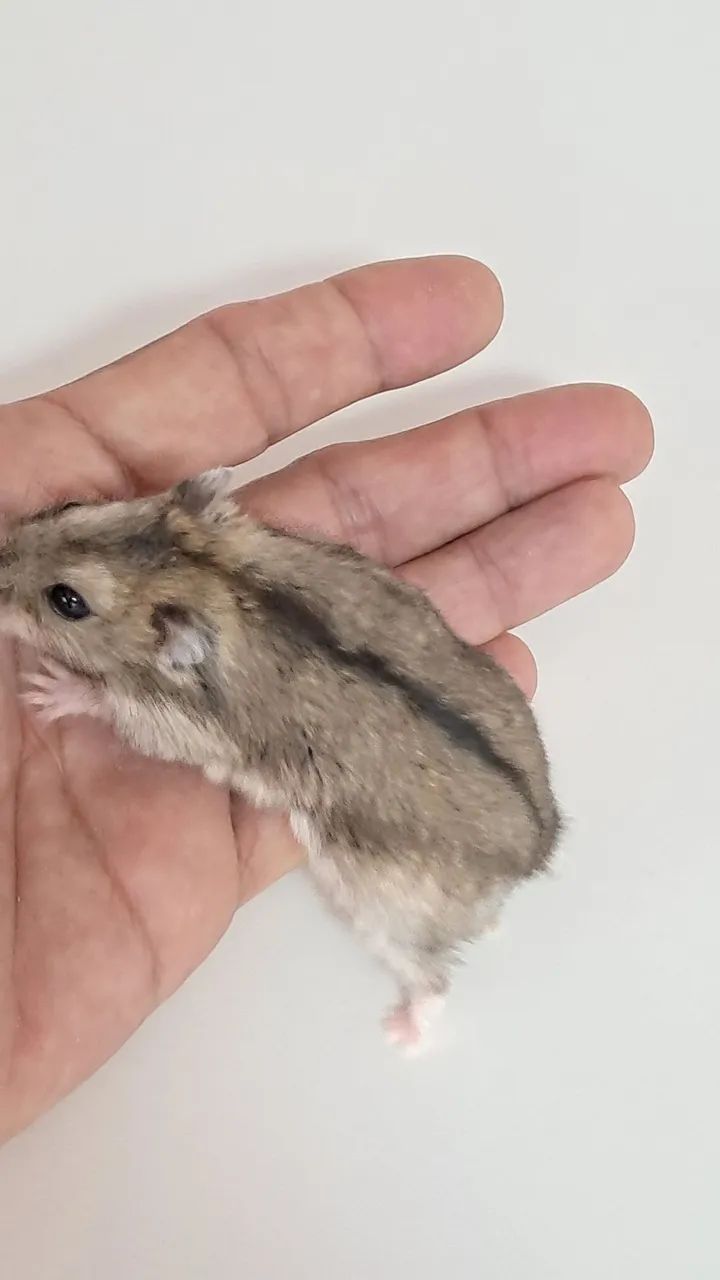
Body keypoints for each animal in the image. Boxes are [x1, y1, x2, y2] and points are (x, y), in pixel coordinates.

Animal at [0, 468, 561, 1050]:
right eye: (70, 505)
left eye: (67, 601)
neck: (206, 577)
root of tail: (535, 857)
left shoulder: (172, 724)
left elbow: (105, 700)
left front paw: (47, 689)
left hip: (385, 912)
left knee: (434, 979)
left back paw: (401, 1033)